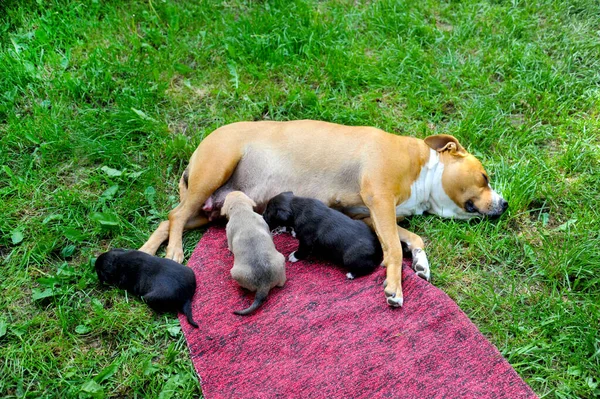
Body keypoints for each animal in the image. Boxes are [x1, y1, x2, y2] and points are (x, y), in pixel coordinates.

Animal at [139, 120, 506, 308]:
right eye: (485, 177)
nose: (503, 205)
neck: (425, 172)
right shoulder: (380, 200)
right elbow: (391, 248)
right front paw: (395, 285)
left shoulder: (368, 215)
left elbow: (413, 237)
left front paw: (420, 261)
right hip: (213, 173)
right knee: (175, 217)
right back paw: (173, 252)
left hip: (210, 208)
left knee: (169, 219)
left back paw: (147, 250)